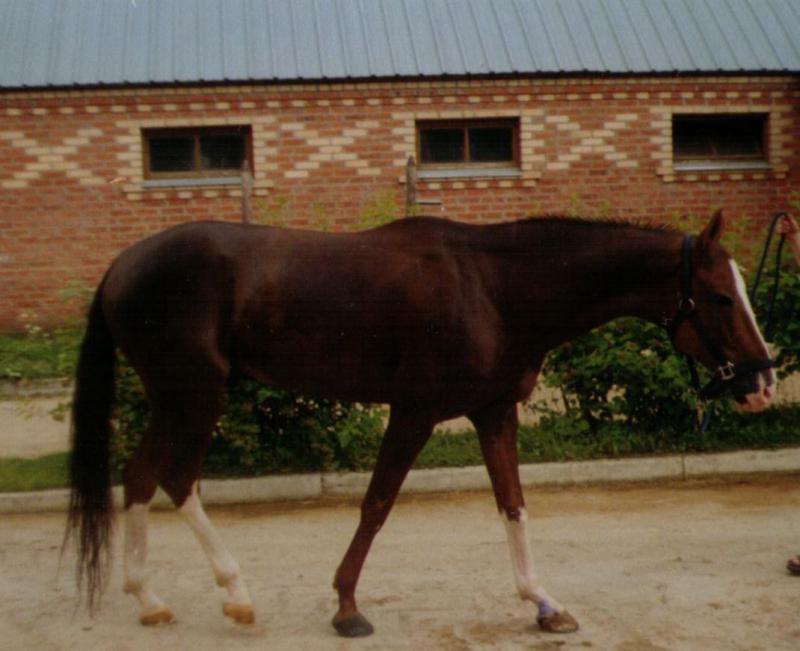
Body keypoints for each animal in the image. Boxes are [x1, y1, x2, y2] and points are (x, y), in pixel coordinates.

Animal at [67, 213, 776, 636]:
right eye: (719, 297)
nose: (764, 382)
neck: (493, 288)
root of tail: (121, 265)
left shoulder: (494, 413)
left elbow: (514, 506)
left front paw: (543, 602)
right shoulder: (413, 412)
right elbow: (377, 504)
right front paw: (347, 607)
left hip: (172, 397)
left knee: (139, 475)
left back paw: (149, 599)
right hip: (195, 393)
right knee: (177, 480)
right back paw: (235, 594)